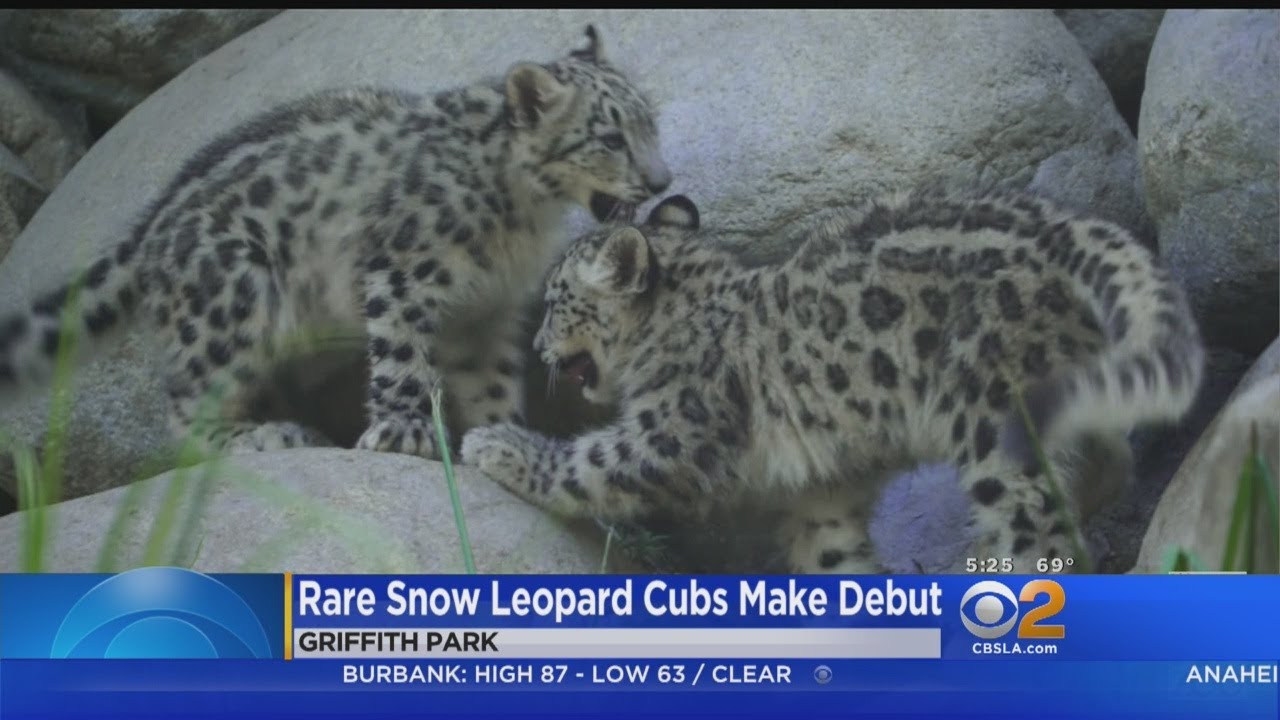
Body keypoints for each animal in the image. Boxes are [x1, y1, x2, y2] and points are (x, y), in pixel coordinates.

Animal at [0, 25, 672, 459]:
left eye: (651, 123)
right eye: (609, 138)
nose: (661, 180)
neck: (524, 216)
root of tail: (147, 232)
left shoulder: (488, 309)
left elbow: (490, 379)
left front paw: (500, 435)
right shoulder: (404, 270)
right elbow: (401, 356)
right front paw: (404, 433)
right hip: (234, 296)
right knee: (189, 404)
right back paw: (262, 435)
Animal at [460, 190, 1205, 574]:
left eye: (556, 299)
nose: (536, 344)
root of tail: (1061, 227)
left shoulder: (672, 432)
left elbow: (588, 462)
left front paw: (493, 444)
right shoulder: (821, 494)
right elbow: (832, 558)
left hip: (993, 419)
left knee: (1041, 529)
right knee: (1110, 459)